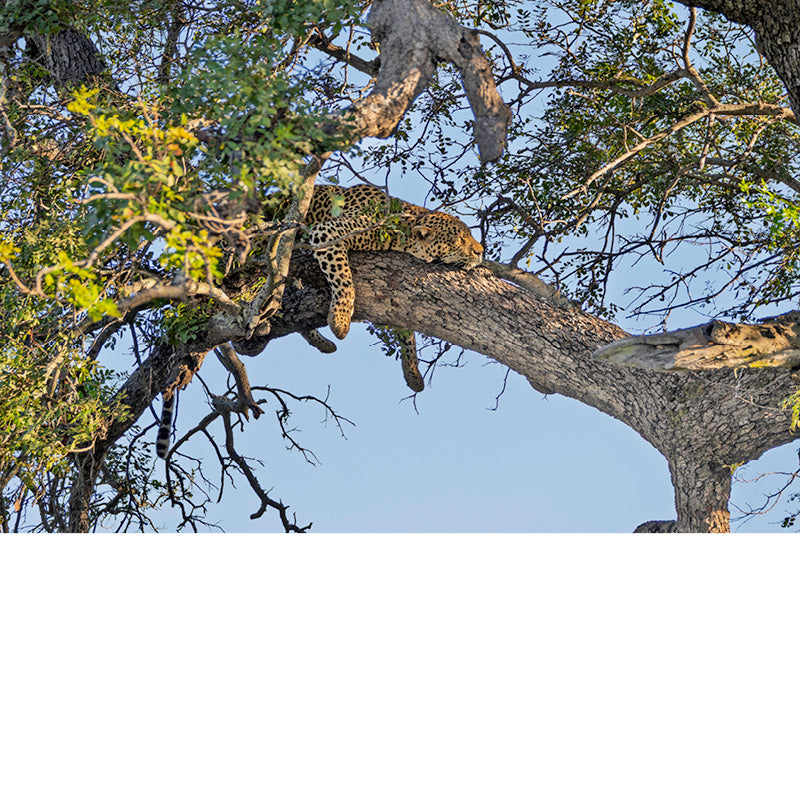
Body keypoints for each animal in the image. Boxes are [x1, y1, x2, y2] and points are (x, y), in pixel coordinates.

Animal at [301, 184, 484, 392]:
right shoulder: (328, 231)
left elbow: (408, 336)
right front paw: (340, 320)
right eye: (460, 240)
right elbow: (344, 278)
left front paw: (413, 374)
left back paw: (323, 344)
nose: (481, 252)